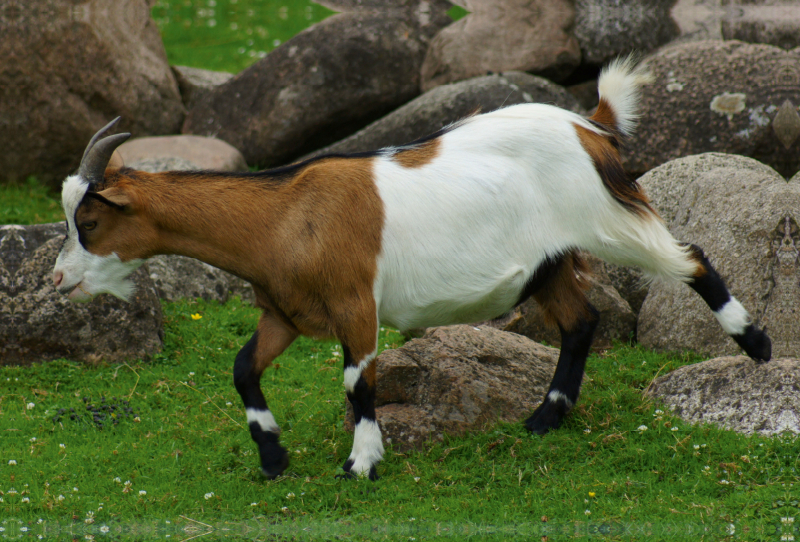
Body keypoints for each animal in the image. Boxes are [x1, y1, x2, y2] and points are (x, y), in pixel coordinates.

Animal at [50, 58, 768, 484]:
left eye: (89, 222)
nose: (58, 282)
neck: (286, 215)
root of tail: (588, 126)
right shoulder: (285, 313)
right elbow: (242, 370)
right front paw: (274, 455)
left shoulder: (355, 303)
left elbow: (356, 382)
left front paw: (362, 462)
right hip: (547, 264)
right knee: (581, 321)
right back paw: (544, 419)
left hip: (607, 221)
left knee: (691, 259)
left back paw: (755, 344)